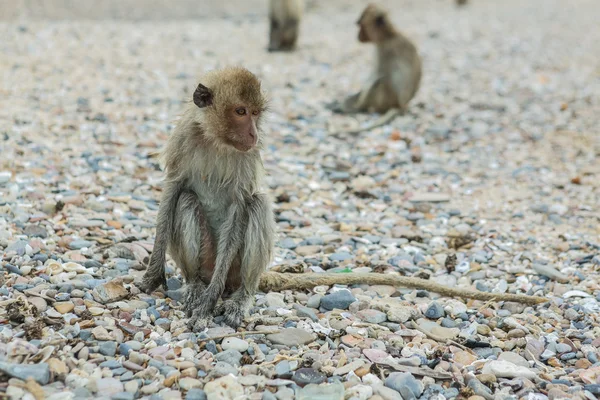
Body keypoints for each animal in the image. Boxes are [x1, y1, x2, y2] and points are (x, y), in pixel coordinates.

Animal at [142, 67, 278, 332]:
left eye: (255, 113)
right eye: (240, 112)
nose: (254, 134)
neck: (216, 140)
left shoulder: (248, 155)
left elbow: (239, 205)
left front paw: (209, 301)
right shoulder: (183, 137)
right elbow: (174, 188)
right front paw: (154, 272)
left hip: (232, 269)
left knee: (257, 204)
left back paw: (240, 296)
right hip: (207, 261)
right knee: (186, 200)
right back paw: (195, 284)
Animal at [328, 3, 422, 136]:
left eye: (360, 26)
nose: (358, 36)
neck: (389, 35)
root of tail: (400, 105)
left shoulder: (384, 51)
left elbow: (376, 76)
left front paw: (354, 106)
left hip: (383, 100)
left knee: (379, 82)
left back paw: (356, 108)